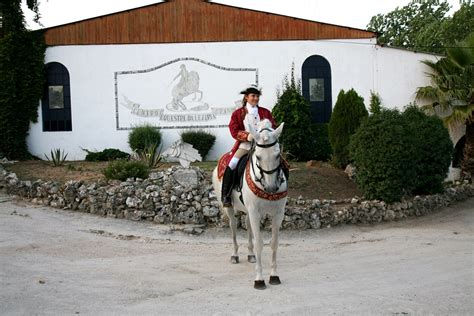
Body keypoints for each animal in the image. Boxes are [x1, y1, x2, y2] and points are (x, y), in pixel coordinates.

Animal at [213, 119, 286, 290]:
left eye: (278, 155)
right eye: (258, 156)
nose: (271, 188)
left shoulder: (278, 213)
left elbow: (274, 243)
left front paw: (274, 276)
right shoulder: (254, 211)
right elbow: (260, 243)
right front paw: (259, 279)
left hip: (248, 211)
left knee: (247, 225)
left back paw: (251, 255)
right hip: (230, 208)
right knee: (233, 226)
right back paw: (235, 255)